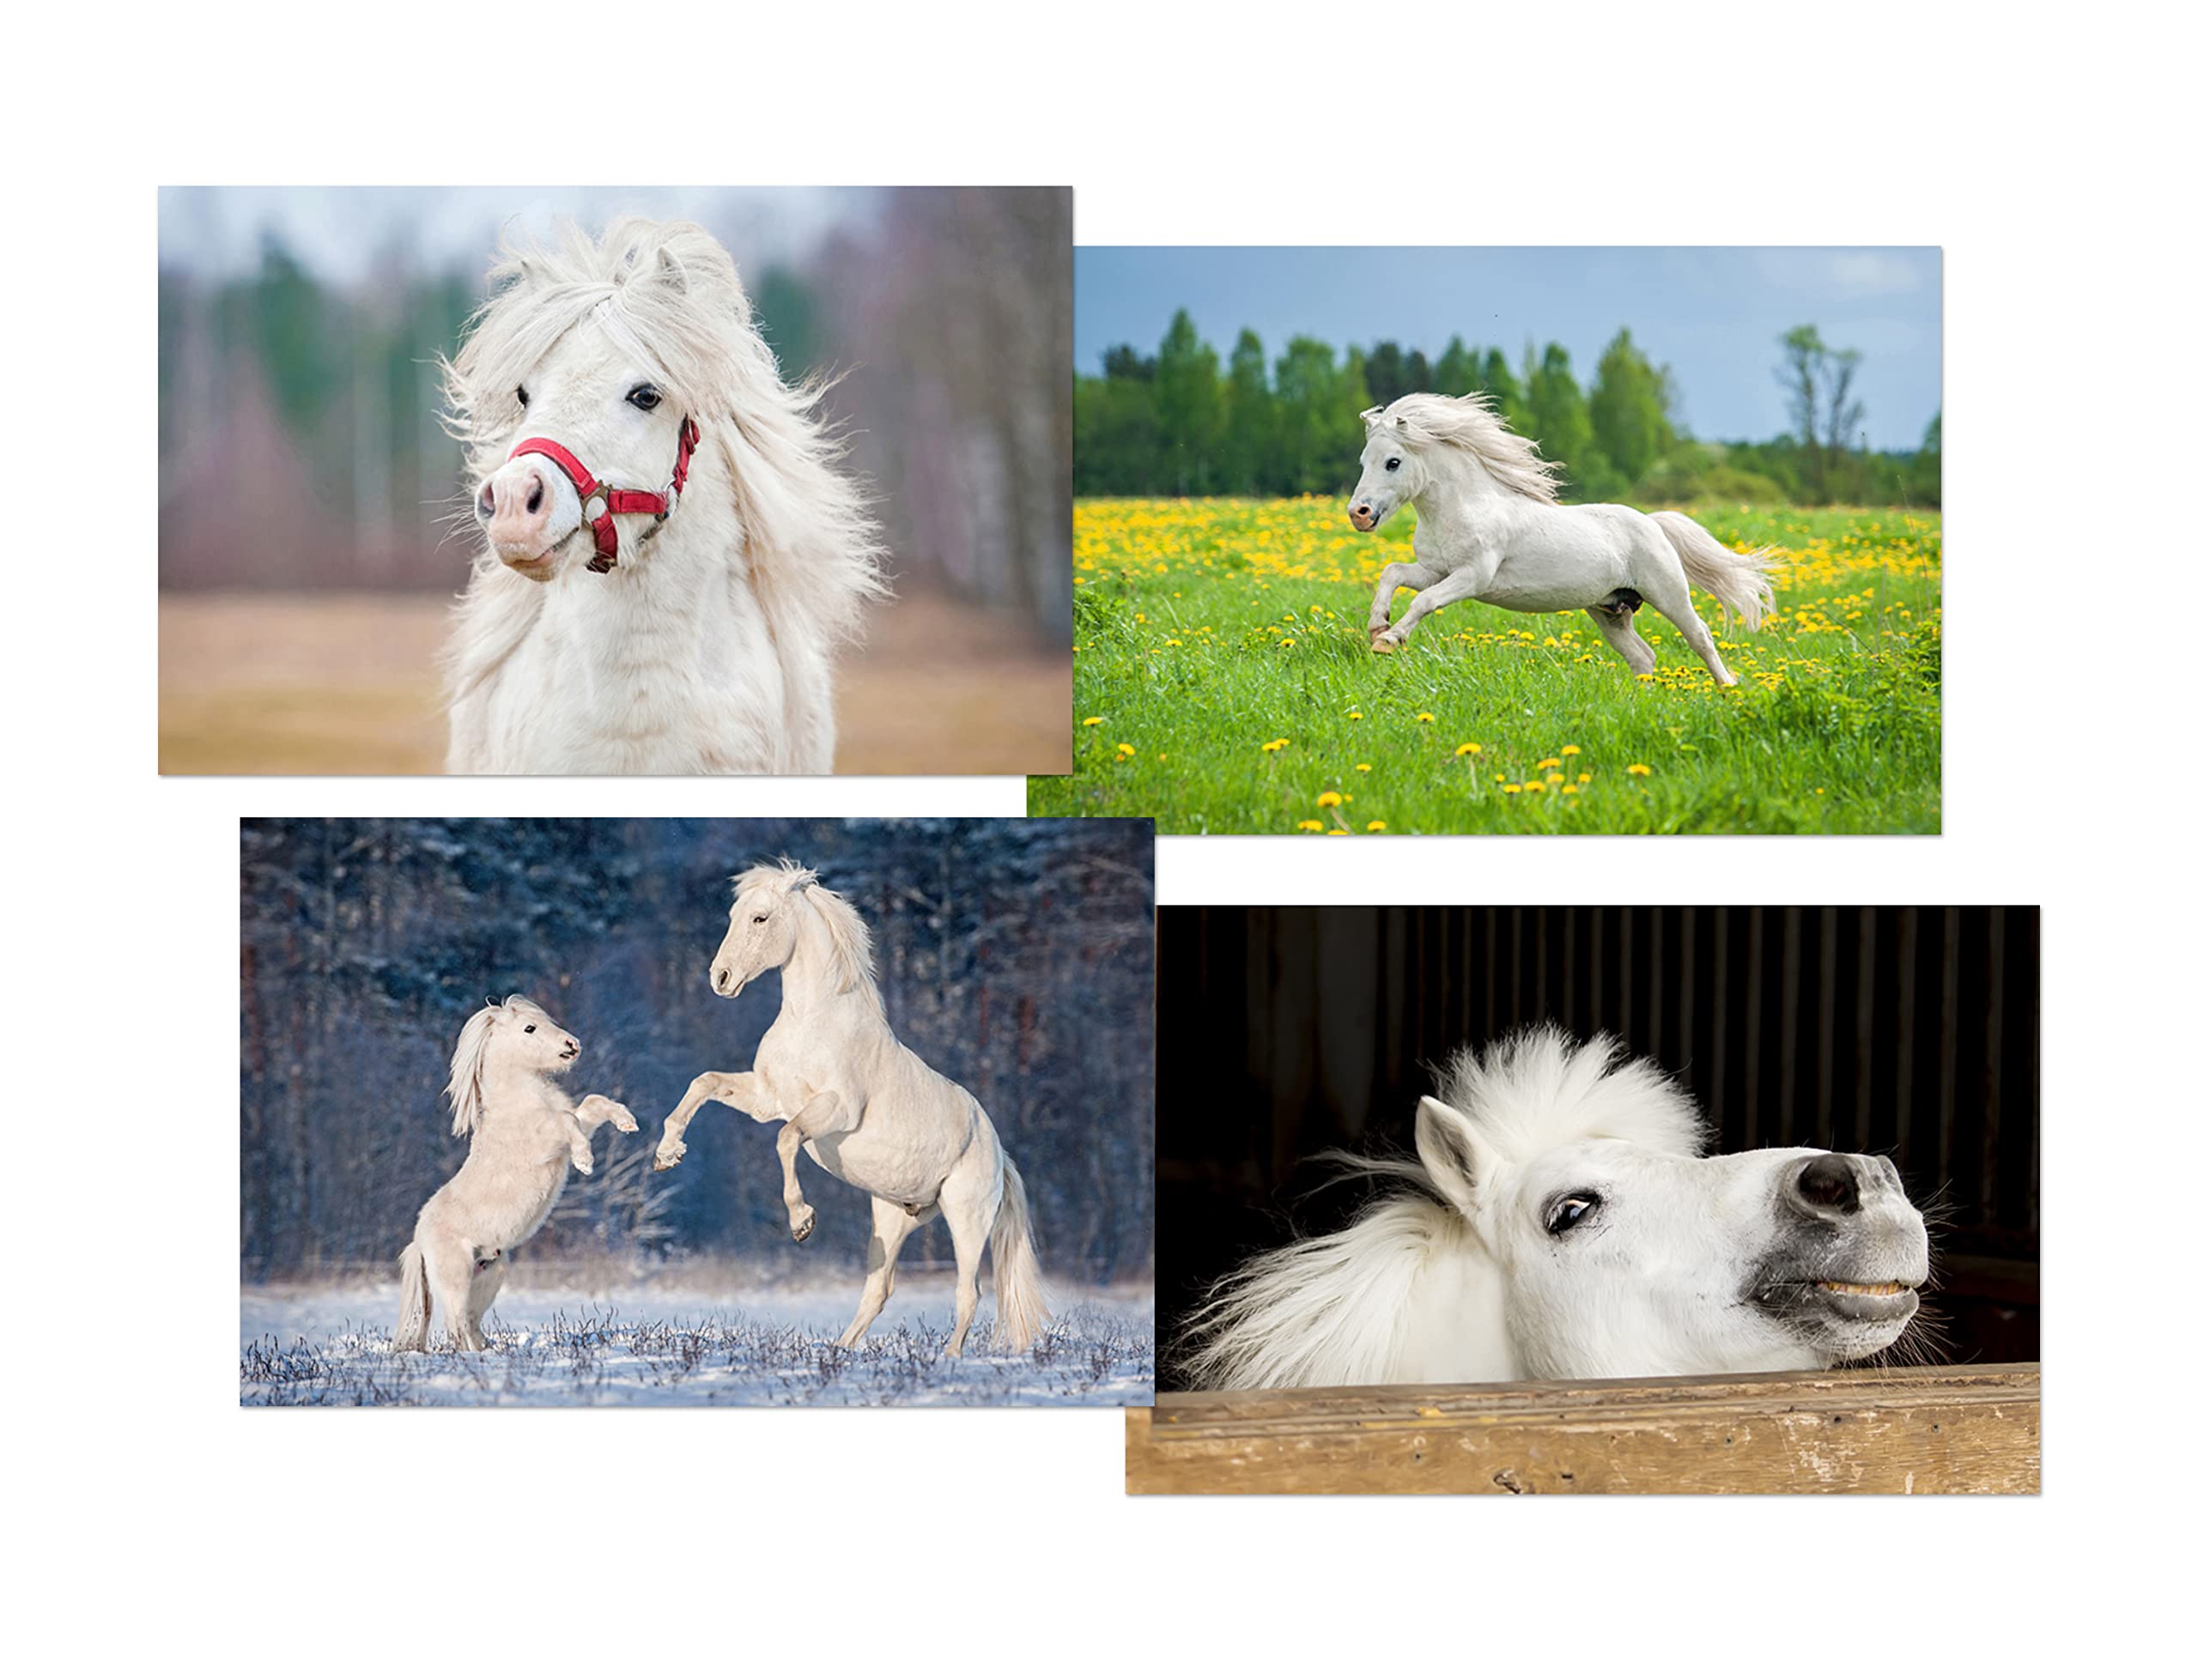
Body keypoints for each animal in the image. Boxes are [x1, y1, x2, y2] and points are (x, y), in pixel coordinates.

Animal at [394, 996, 638, 1353]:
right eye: (530, 1028)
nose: (573, 1045)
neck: (521, 1103)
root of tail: (418, 1240)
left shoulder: (570, 1128)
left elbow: (590, 1105)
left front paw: (627, 1121)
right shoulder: (547, 1140)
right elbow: (568, 1119)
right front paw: (585, 1162)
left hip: (488, 1276)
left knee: (470, 1323)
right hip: (455, 1277)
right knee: (456, 1325)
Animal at [651, 861, 1047, 1356]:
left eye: (760, 918)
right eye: (733, 915)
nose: (720, 978)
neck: (812, 1024)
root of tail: (1000, 1156)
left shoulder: (835, 1111)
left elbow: (786, 1138)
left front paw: (802, 1222)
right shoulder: (766, 1098)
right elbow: (704, 1083)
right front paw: (666, 1154)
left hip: (966, 1218)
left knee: (968, 1292)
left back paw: (949, 1358)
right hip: (893, 1218)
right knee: (878, 1290)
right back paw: (839, 1352)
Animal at [1346, 392, 1776, 685]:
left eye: (1393, 462)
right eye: (1364, 461)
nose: (1358, 514)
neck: (1464, 506)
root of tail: (1652, 523)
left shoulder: (1472, 576)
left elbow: (1425, 601)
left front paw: (1390, 640)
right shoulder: (1435, 569)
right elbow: (1392, 573)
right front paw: (1377, 626)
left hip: (1668, 594)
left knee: (1700, 637)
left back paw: (1727, 687)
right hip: (1610, 610)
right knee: (1643, 656)